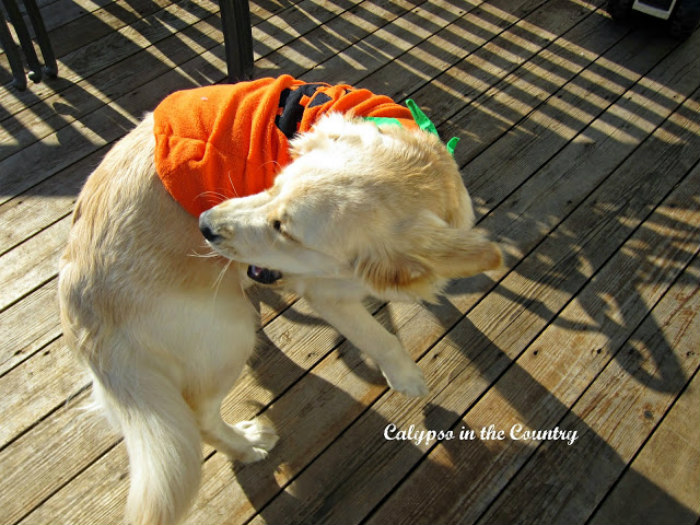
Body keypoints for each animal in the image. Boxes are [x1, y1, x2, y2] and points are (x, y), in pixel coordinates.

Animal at [57, 75, 500, 520]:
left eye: (283, 229)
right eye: (272, 185)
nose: (204, 225)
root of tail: (79, 296)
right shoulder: (325, 293)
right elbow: (380, 337)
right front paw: (405, 376)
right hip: (230, 332)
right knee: (200, 417)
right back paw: (246, 444)